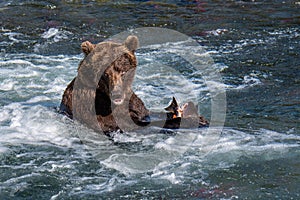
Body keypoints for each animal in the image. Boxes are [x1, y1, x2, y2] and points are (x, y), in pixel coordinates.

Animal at [59, 35, 209, 136]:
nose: (117, 94)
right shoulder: (96, 109)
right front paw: (191, 121)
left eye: (123, 71)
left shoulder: (134, 105)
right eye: (104, 74)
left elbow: (147, 113)